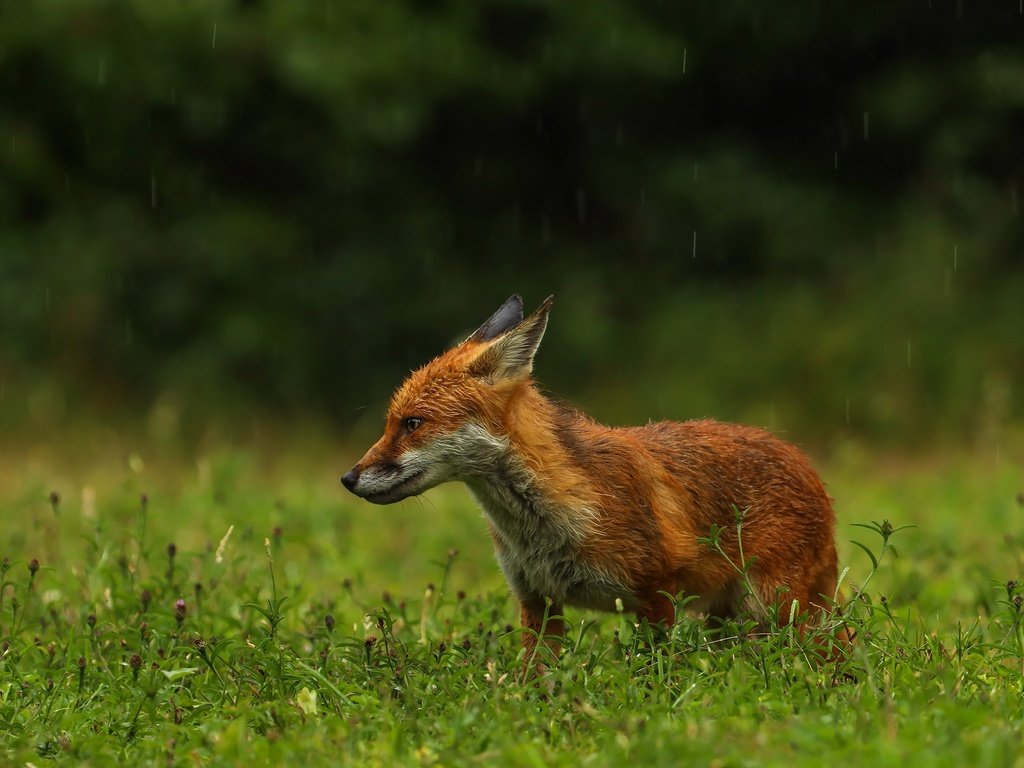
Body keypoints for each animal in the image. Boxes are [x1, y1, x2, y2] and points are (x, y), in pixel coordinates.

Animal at [339, 294, 843, 655]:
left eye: (412, 424)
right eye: (392, 422)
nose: (348, 478)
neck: (545, 524)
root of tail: (806, 463)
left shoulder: (657, 596)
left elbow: (655, 675)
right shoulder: (537, 602)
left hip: (773, 611)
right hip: (727, 620)